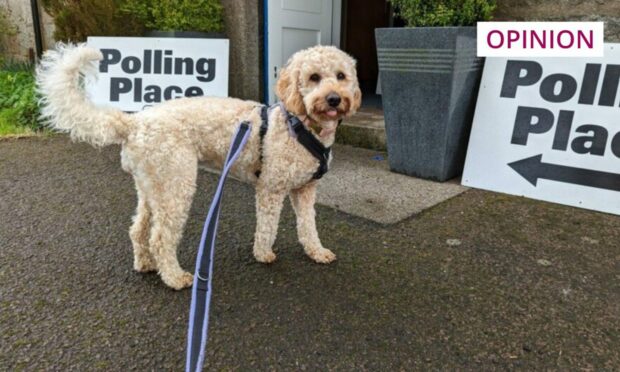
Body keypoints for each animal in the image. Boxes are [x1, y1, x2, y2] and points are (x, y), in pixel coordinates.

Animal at [36, 43, 360, 290]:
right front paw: (263, 254)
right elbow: (267, 226)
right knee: (160, 238)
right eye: (314, 77)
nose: (334, 98)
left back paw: (145, 264)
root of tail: (134, 122)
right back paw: (175, 278)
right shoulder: (271, 188)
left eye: (341, 76)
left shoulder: (305, 190)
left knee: (138, 230)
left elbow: (308, 226)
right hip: (176, 185)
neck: (301, 125)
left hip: (152, 187)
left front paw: (317, 252)